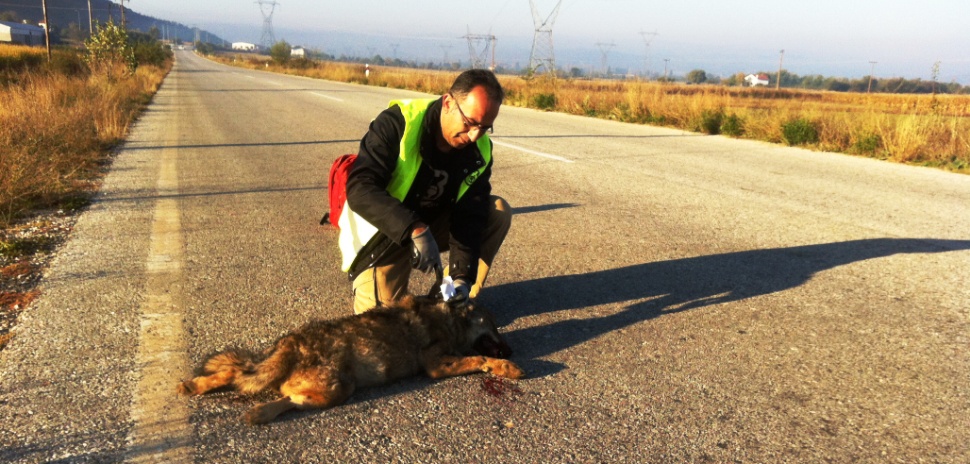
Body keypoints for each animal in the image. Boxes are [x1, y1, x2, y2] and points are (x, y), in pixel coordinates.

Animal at [174, 298, 520, 424]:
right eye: (494, 326)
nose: (512, 351)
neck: (451, 321)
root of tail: (294, 342)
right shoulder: (437, 365)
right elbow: (477, 357)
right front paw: (503, 367)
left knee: (236, 372)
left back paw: (195, 386)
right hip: (338, 388)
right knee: (284, 398)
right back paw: (259, 413)